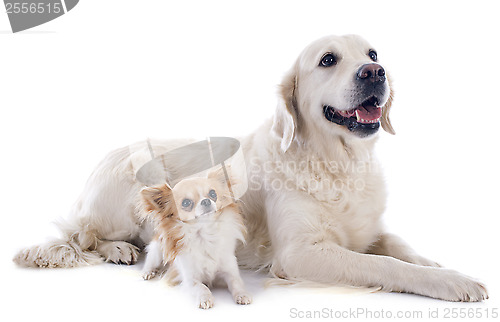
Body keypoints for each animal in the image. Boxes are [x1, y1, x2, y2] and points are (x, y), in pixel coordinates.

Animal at [139, 167, 252, 308]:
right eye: (186, 202)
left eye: (213, 194)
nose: (206, 200)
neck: (205, 236)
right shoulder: (190, 280)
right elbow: (201, 287)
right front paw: (205, 298)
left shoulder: (230, 271)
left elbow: (237, 283)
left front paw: (242, 295)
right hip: (157, 250)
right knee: (150, 261)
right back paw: (148, 272)